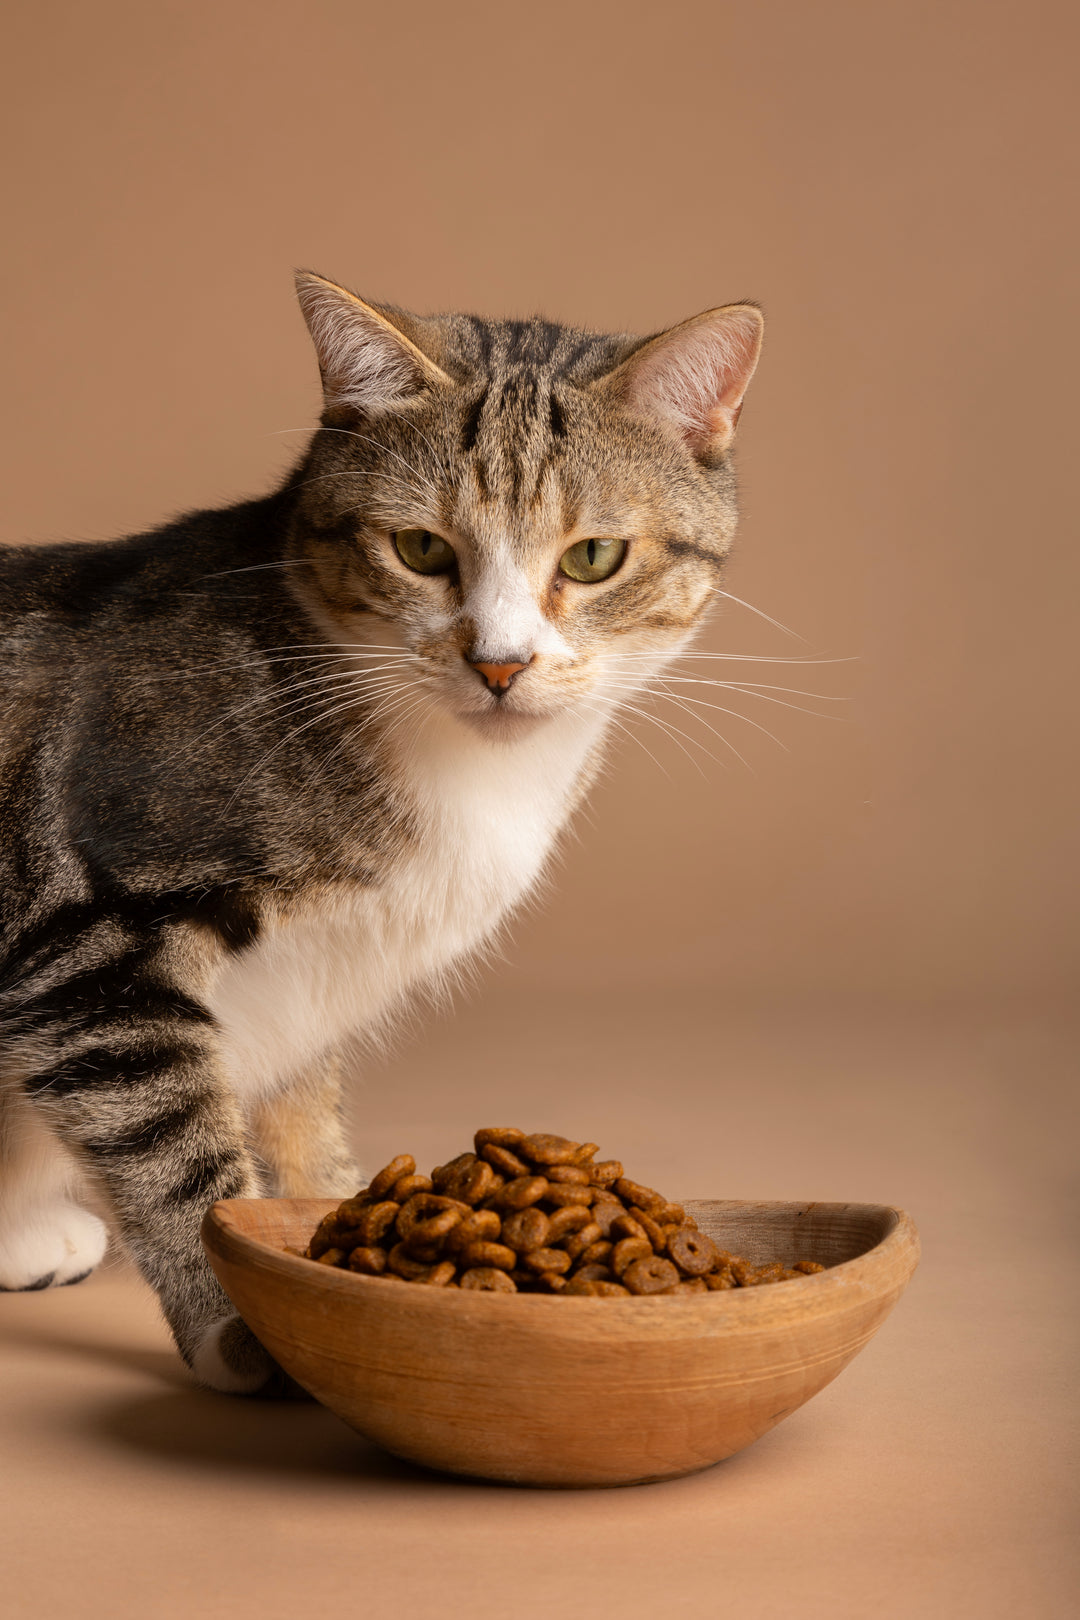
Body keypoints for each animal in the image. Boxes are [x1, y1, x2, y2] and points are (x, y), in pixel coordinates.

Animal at [0, 272, 761, 1386]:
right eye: (420, 549)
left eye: (593, 556)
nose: (500, 663)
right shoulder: (90, 938)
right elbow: (177, 1150)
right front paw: (241, 1325)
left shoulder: (308, 989)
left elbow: (303, 1127)